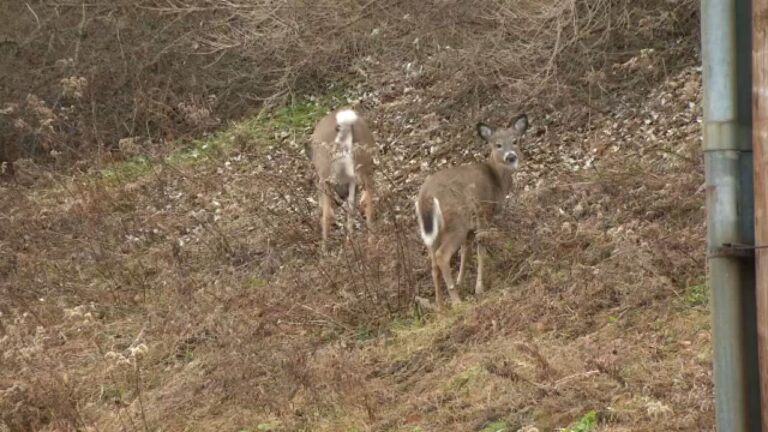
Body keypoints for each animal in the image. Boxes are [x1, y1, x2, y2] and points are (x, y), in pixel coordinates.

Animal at [308, 106, 376, 253]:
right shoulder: (351, 182)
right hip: (364, 162)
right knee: (366, 200)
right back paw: (369, 241)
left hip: (326, 173)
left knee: (327, 214)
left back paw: (325, 250)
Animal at [414, 112, 528, 308]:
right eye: (497, 145)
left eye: (515, 141)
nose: (511, 157)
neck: (496, 182)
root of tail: (426, 196)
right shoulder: (484, 214)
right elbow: (480, 250)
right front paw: (479, 288)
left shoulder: (470, 226)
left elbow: (466, 251)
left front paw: (461, 281)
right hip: (456, 221)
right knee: (442, 256)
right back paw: (456, 302)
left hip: (432, 231)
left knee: (433, 263)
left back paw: (440, 306)